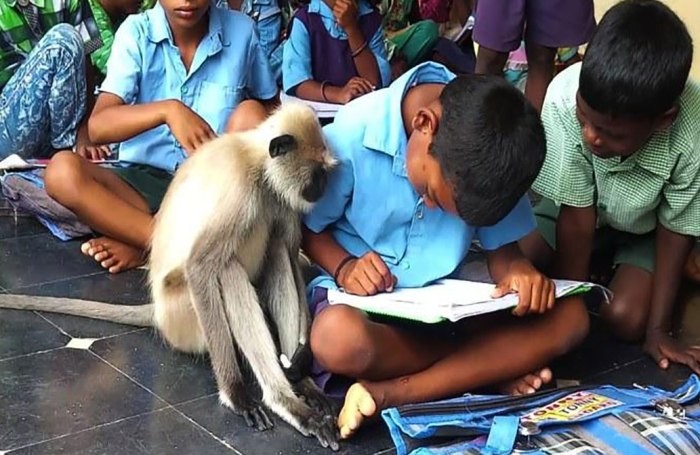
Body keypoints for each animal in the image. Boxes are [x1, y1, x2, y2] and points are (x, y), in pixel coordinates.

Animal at [0, 105, 340, 450]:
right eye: (318, 174)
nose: (323, 188)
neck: (256, 162)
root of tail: (159, 313)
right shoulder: (239, 187)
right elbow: (201, 267)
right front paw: (236, 394)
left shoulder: (280, 195)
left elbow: (291, 255)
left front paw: (304, 365)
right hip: (184, 316)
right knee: (226, 268)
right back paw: (283, 401)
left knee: (277, 251)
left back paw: (302, 388)